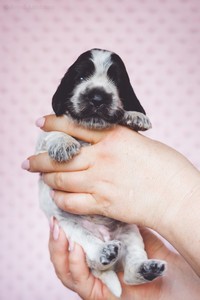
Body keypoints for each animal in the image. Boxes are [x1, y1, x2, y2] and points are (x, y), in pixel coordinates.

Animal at [36, 49, 166, 298]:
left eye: (117, 81)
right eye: (80, 77)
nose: (97, 98)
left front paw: (135, 116)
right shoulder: (41, 143)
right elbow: (51, 134)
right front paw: (63, 142)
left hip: (130, 233)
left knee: (131, 272)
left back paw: (146, 269)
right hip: (68, 229)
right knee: (93, 253)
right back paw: (104, 252)